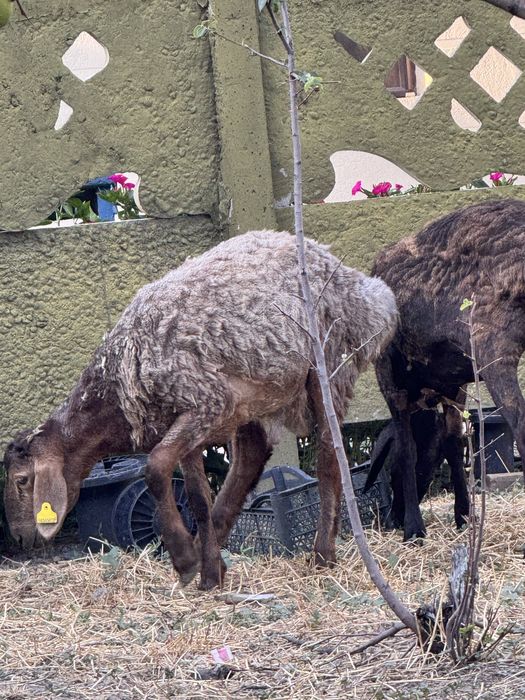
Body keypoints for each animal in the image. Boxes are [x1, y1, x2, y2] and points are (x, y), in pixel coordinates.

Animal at [3, 229, 397, 589]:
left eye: (22, 480)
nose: (21, 537)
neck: (120, 381)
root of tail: (360, 285)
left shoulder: (205, 402)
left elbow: (155, 468)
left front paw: (185, 559)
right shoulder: (186, 421)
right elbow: (196, 496)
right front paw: (209, 572)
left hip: (327, 363)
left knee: (329, 454)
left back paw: (322, 554)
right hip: (253, 399)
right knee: (251, 456)